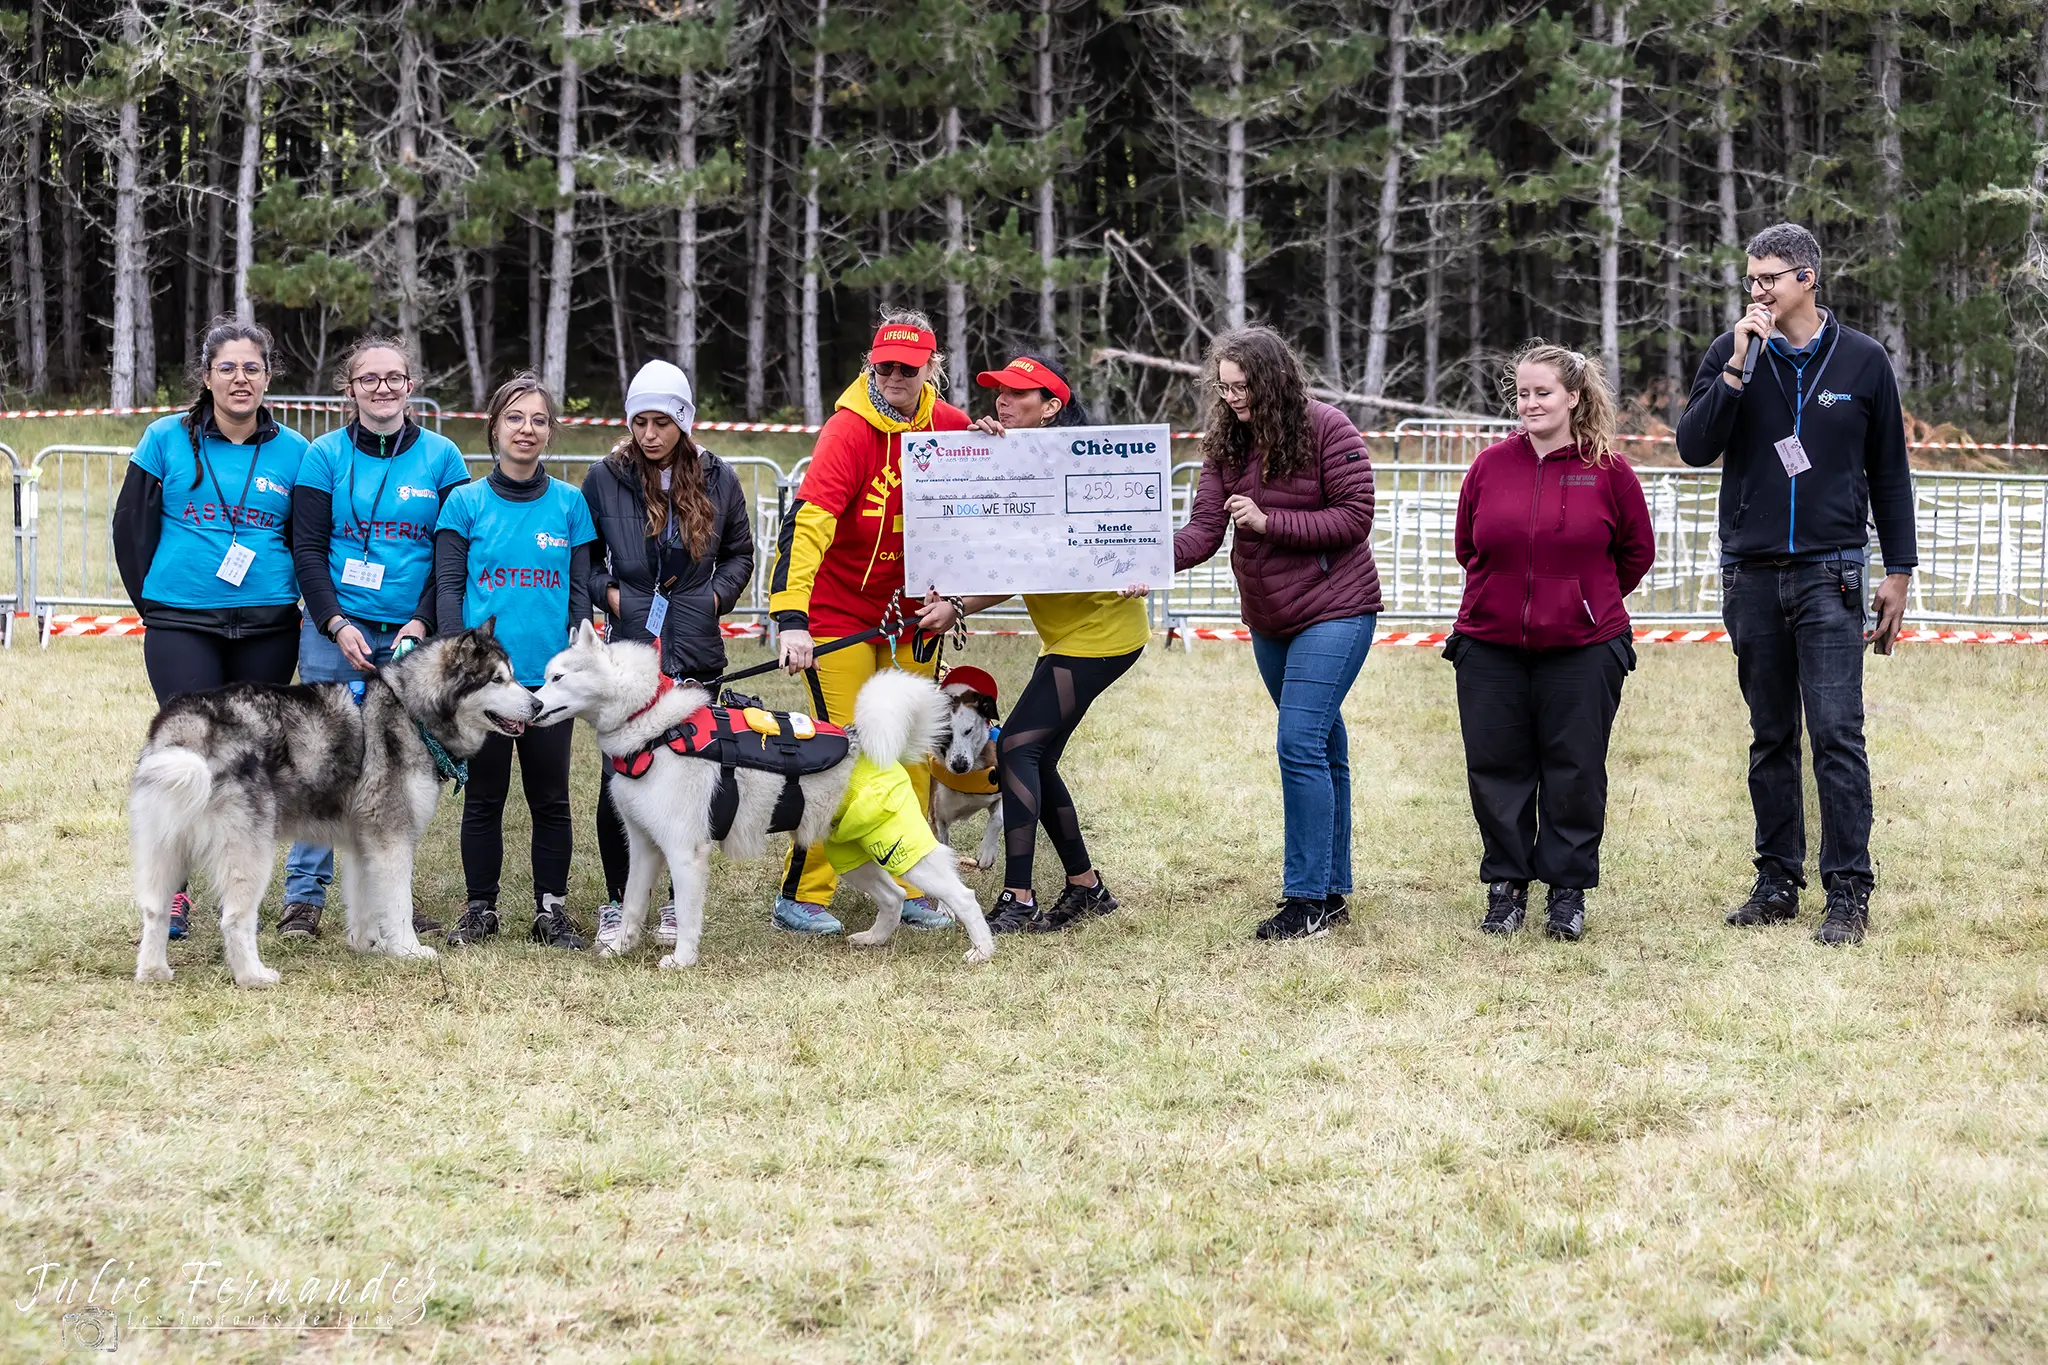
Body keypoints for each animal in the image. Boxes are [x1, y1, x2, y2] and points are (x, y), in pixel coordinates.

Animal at [124, 626, 544, 986]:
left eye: (512, 676)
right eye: (497, 680)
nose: (539, 704)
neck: (412, 712)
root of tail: (186, 725)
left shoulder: (364, 844)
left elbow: (365, 900)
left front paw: (368, 945)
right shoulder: (392, 839)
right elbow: (399, 904)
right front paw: (408, 950)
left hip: (166, 847)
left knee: (154, 909)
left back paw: (154, 971)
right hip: (249, 851)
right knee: (233, 918)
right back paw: (253, 977)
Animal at [532, 622, 995, 970]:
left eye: (558, 677)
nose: (532, 704)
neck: (654, 726)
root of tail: (862, 738)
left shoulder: (684, 852)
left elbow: (686, 915)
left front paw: (682, 960)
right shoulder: (645, 848)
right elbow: (630, 905)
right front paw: (619, 948)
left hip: (903, 852)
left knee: (961, 896)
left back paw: (982, 951)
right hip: (852, 856)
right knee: (894, 896)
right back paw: (874, 939)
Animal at [929, 663, 1007, 875]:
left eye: (969, 730)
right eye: (944, 734)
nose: (960, 765)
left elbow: (998, 818)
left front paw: (987, 851)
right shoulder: (937, 818)